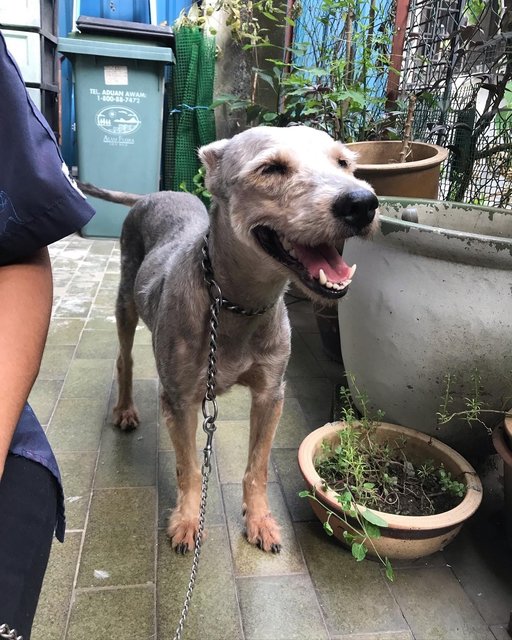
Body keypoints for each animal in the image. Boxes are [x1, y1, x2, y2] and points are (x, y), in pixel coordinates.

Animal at [79, 124, 376, 552]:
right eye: (271, 168)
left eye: (344, 163)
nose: (363, 203)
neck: (238, 305)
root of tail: (152, 194)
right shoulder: (180, 399)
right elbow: (189, 468)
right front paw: (187, 521)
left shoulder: (271, 393)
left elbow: (258, 467)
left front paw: (260, 520)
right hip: (125, 299)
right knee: (125, 358)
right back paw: (125, 409)